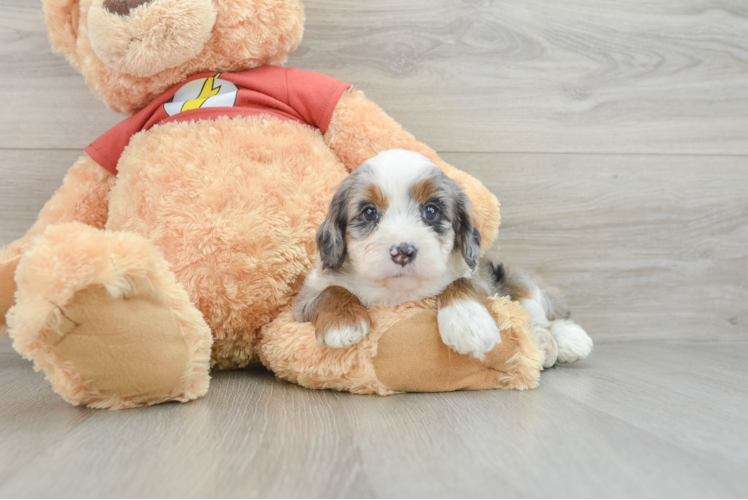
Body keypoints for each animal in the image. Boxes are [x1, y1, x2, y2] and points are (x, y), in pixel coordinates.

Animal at [296, 147, 592, 364]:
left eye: (431, 210)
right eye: (369, 212)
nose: (403, 252)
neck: (398, 292)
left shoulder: (479, 277)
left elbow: (460, 283)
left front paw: (468, 323)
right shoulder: (301, 303)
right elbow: (331, 290)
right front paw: (342, 323)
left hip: (516, 281)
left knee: (543, 316)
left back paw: (567, 339)